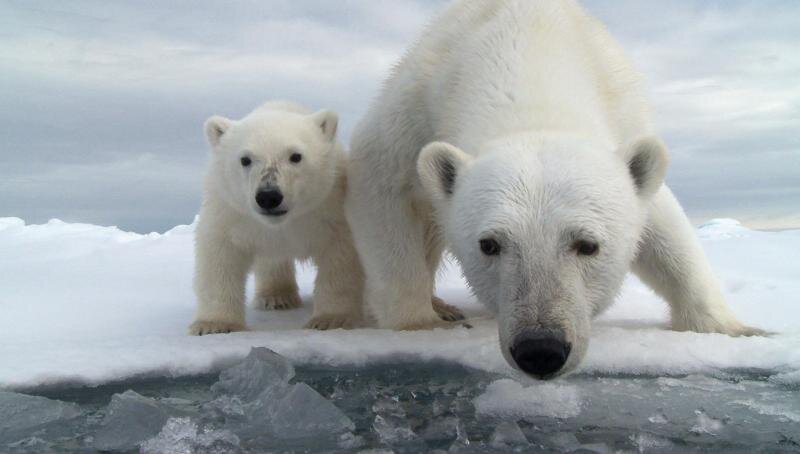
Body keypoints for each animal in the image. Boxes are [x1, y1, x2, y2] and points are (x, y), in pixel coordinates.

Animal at [189, 102, 364, 334]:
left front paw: (331, 319)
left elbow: (340, 257)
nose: (269, 196)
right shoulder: (232, 212)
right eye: (245, 159)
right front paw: (214, 325)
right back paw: (277, 297)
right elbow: (220, 256)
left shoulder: (329, 209)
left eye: (296, 156)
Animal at [350, 0, 764, 378]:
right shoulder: (415, 109)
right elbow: (382, 190)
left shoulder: (623, 118)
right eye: (489, 244)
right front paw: (421, 323)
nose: (540, 350)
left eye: (588, 244)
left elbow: (665, 229)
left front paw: (736, 329)